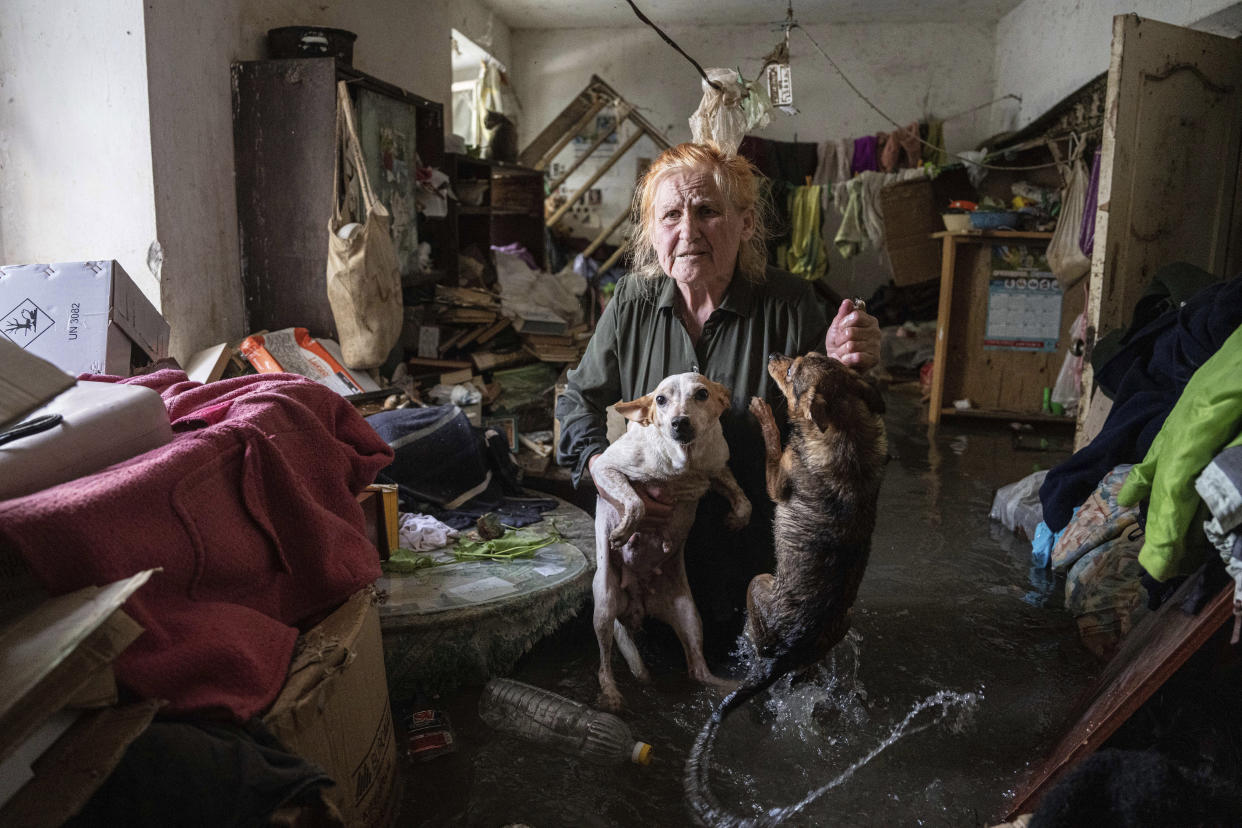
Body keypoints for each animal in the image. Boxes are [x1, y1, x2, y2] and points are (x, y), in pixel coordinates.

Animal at [588, 372, 750, 710]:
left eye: (701, 394)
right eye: (660, 400)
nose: (679, 422)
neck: (684, 463)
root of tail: (637, 603)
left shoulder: (718, 468)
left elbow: (742, 499)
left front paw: (737, 519)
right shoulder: (606, 468)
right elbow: (636, 502)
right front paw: (623, 531)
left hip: (689, 615)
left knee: (697, 669)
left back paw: (727, 687)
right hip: (605, 606)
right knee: (604, 664)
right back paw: (611, 693)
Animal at [685, 352, 889, 828]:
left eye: (793, 371)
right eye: (811, 356)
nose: (777, 356)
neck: (846, 428)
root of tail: (784, 656)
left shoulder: (779, 480)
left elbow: (776, 446)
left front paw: (764, 413)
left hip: (757, 584)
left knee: (757, 636)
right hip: (837, 626)